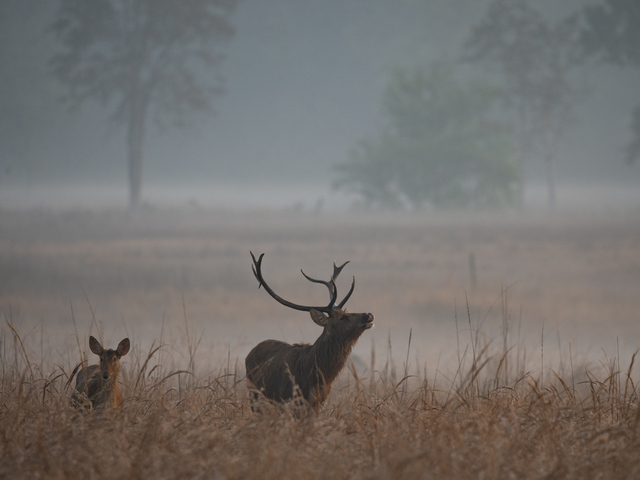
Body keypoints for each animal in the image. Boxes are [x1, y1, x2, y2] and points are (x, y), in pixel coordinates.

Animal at [245, 252, 374, 410]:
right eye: (342, 317)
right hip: (255, 396)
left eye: (346, 312)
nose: (368, 315)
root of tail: (249, 354)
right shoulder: (287, 400)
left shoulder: (318, 403)